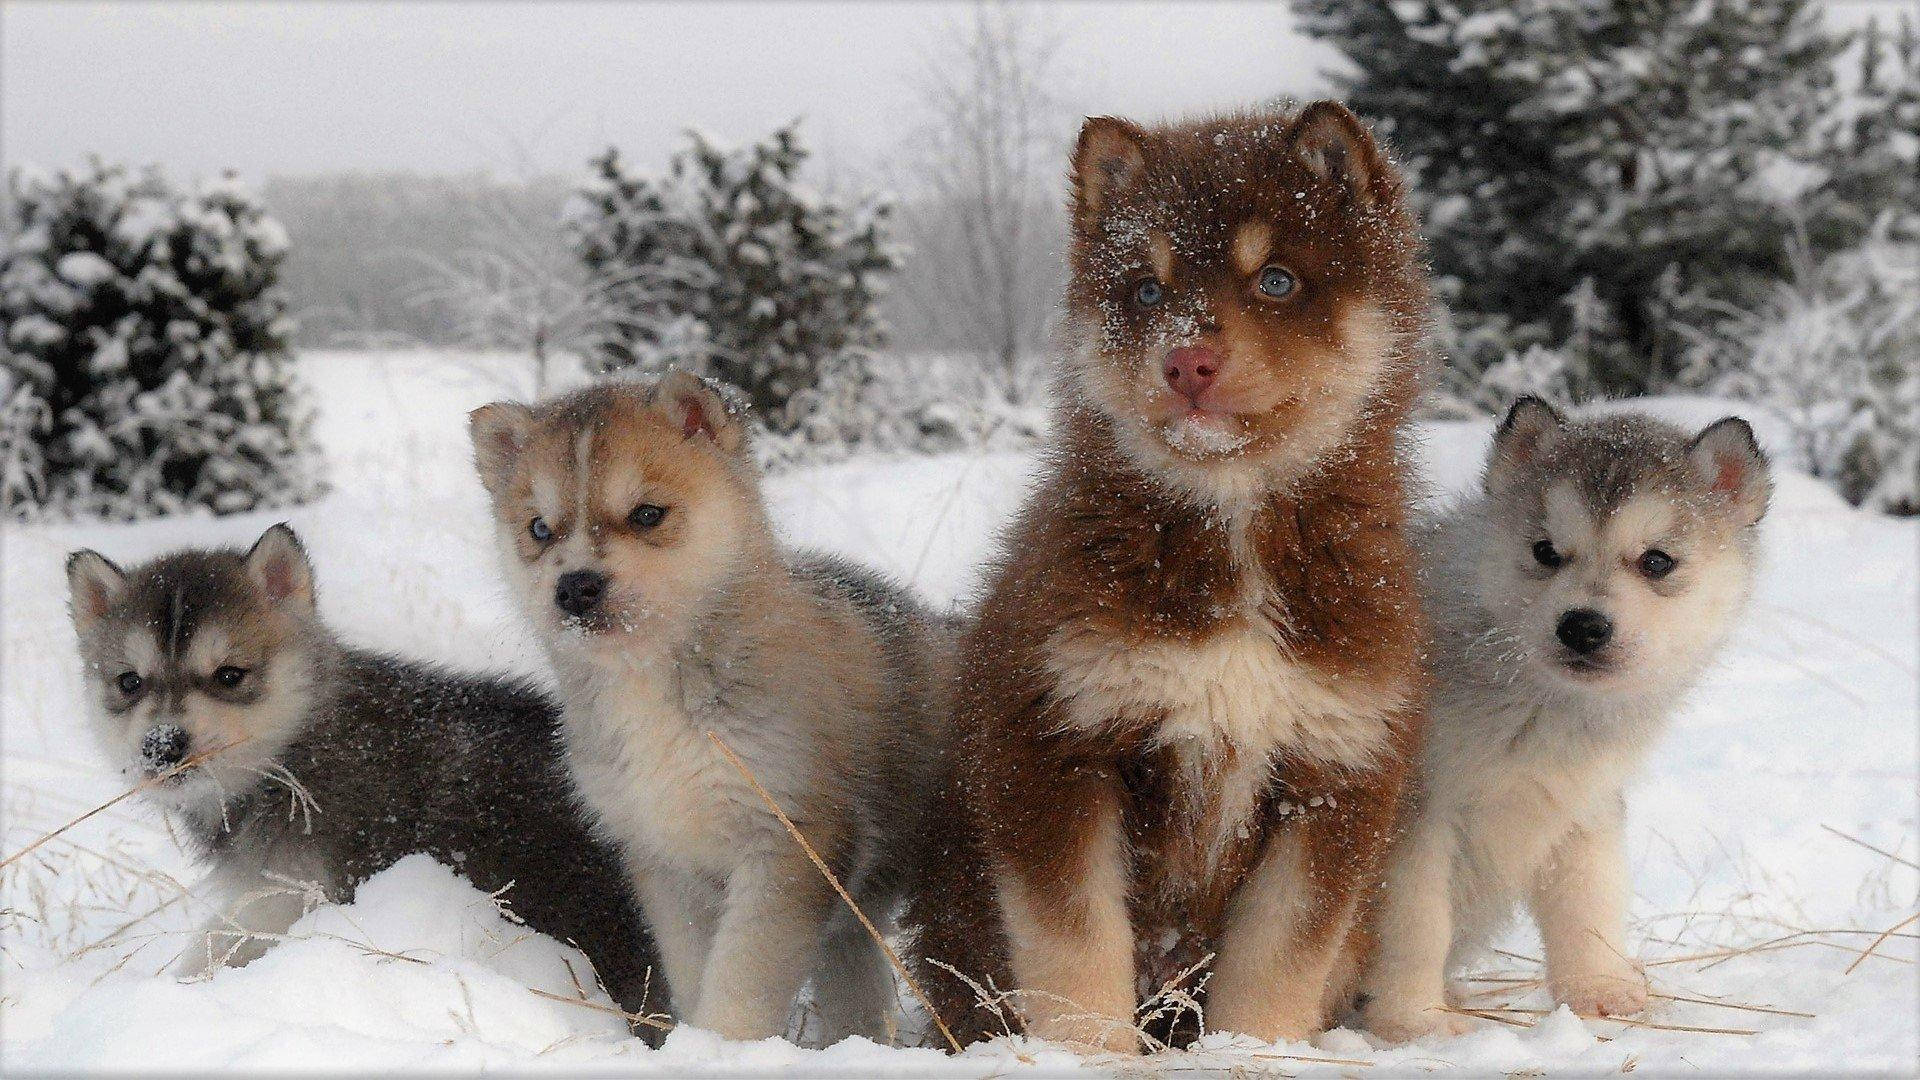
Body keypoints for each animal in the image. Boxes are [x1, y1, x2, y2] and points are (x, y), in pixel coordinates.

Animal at [464, 368, 944, 1045]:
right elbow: (693, 972)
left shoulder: (788, 843)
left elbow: (742, 979)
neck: (653, 687)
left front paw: (722, 1047)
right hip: (853, 923)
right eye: (538, 528)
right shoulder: (665, 859)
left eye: (647, 514)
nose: (575, 588)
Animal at [906, 105, 1436, 1045]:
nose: (1186, 362)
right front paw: (1091, 1054)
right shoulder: (1055, 739)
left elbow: (1281, 954)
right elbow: (1077, 945)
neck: (1233, 524)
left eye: (1275, 281)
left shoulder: (1335, 770)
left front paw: (1252, 1052)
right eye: (1148, 292)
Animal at [1351, 399, 1766, 1037]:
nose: (1583, 626)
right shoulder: (1417, 816)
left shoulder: (1582, 808)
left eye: (1657, 561)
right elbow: (1416, 926)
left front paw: (1600, 989)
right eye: (1545, 551)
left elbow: (1589, 903)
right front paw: (1416, 1019)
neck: (1542, 710)